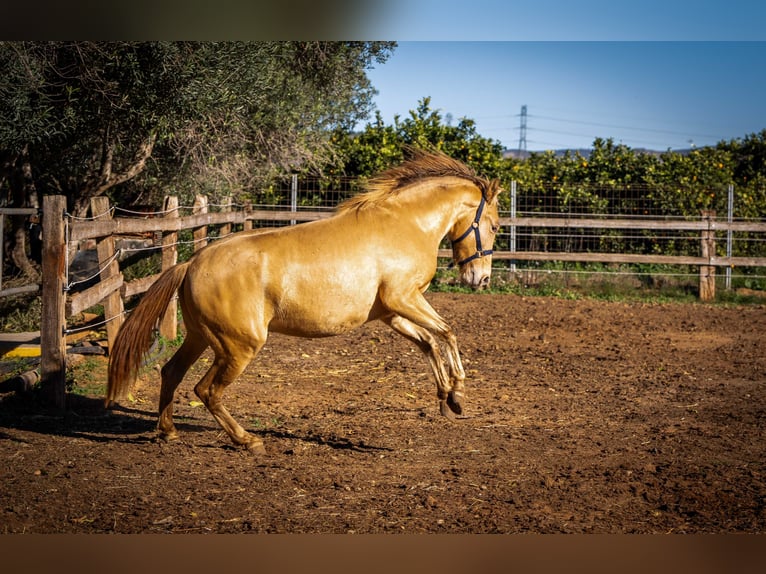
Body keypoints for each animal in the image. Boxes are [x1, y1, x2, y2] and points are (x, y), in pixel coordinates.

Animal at [108, 151, 504, 456]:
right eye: (496, 226)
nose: (480, 280)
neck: (405, 225)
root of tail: (191, 263)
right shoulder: (404, 298)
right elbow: (447, 333)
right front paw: (459, 394)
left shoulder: (391, 312)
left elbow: (429, 343)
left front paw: (446, 398)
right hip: (238, 346)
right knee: (207, 391)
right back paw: (248, 441)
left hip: (201, 337)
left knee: (172, 372)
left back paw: (169, 432)